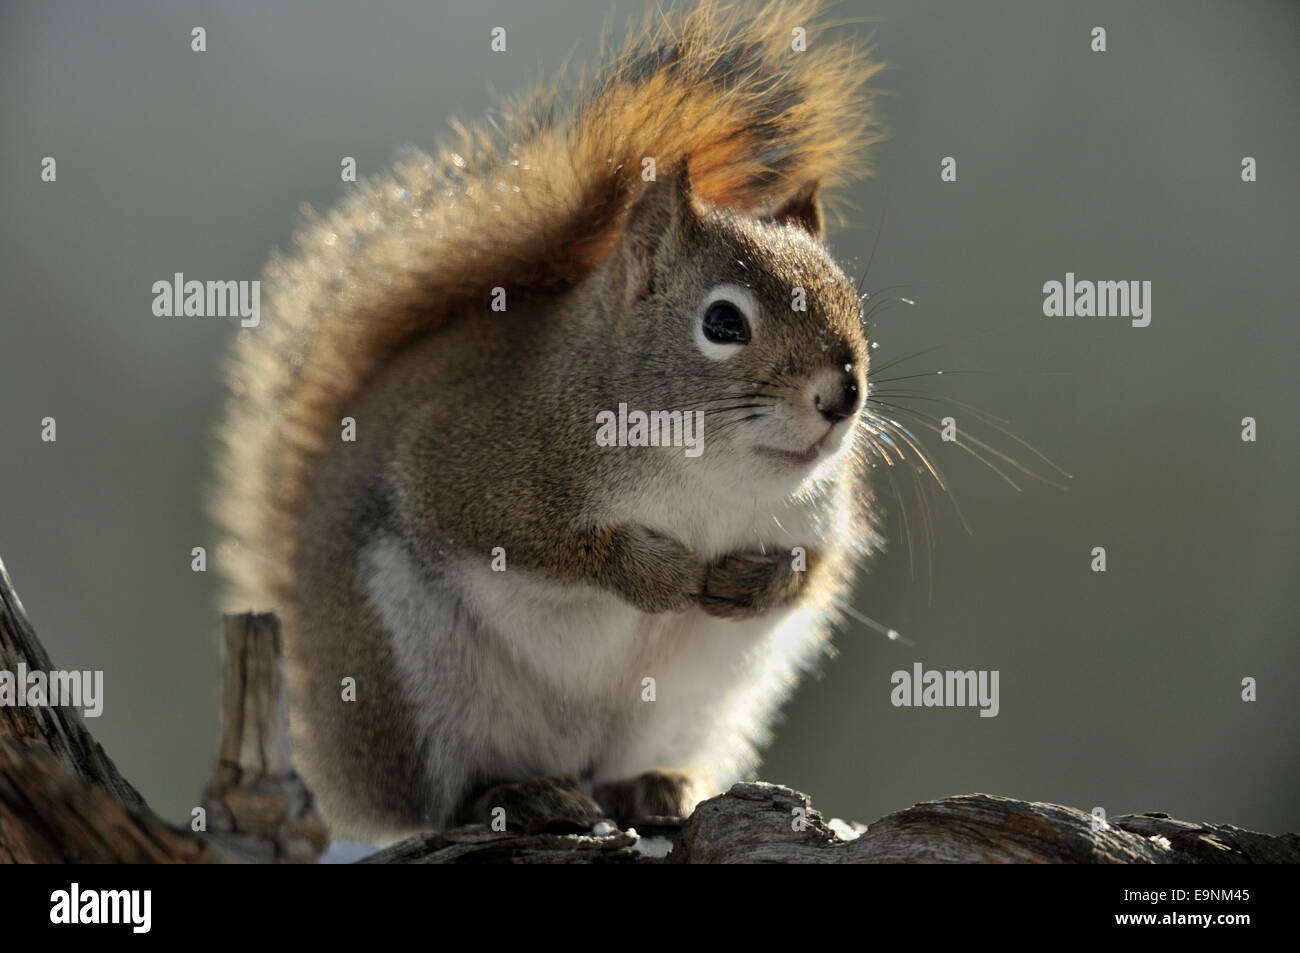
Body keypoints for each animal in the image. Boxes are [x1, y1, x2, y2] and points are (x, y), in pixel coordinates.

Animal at [213, 0, 883, 842]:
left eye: (851, 304)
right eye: (724, 322)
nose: (842, 396)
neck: (705, 478)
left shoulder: (820, 516)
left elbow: (813, 570)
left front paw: (757, 579)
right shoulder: (475, 460)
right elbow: (531, 537)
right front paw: (652, 571)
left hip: (698, 703)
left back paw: (651, 785)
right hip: (402, 676)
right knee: (436, 798)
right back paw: (513, 792)